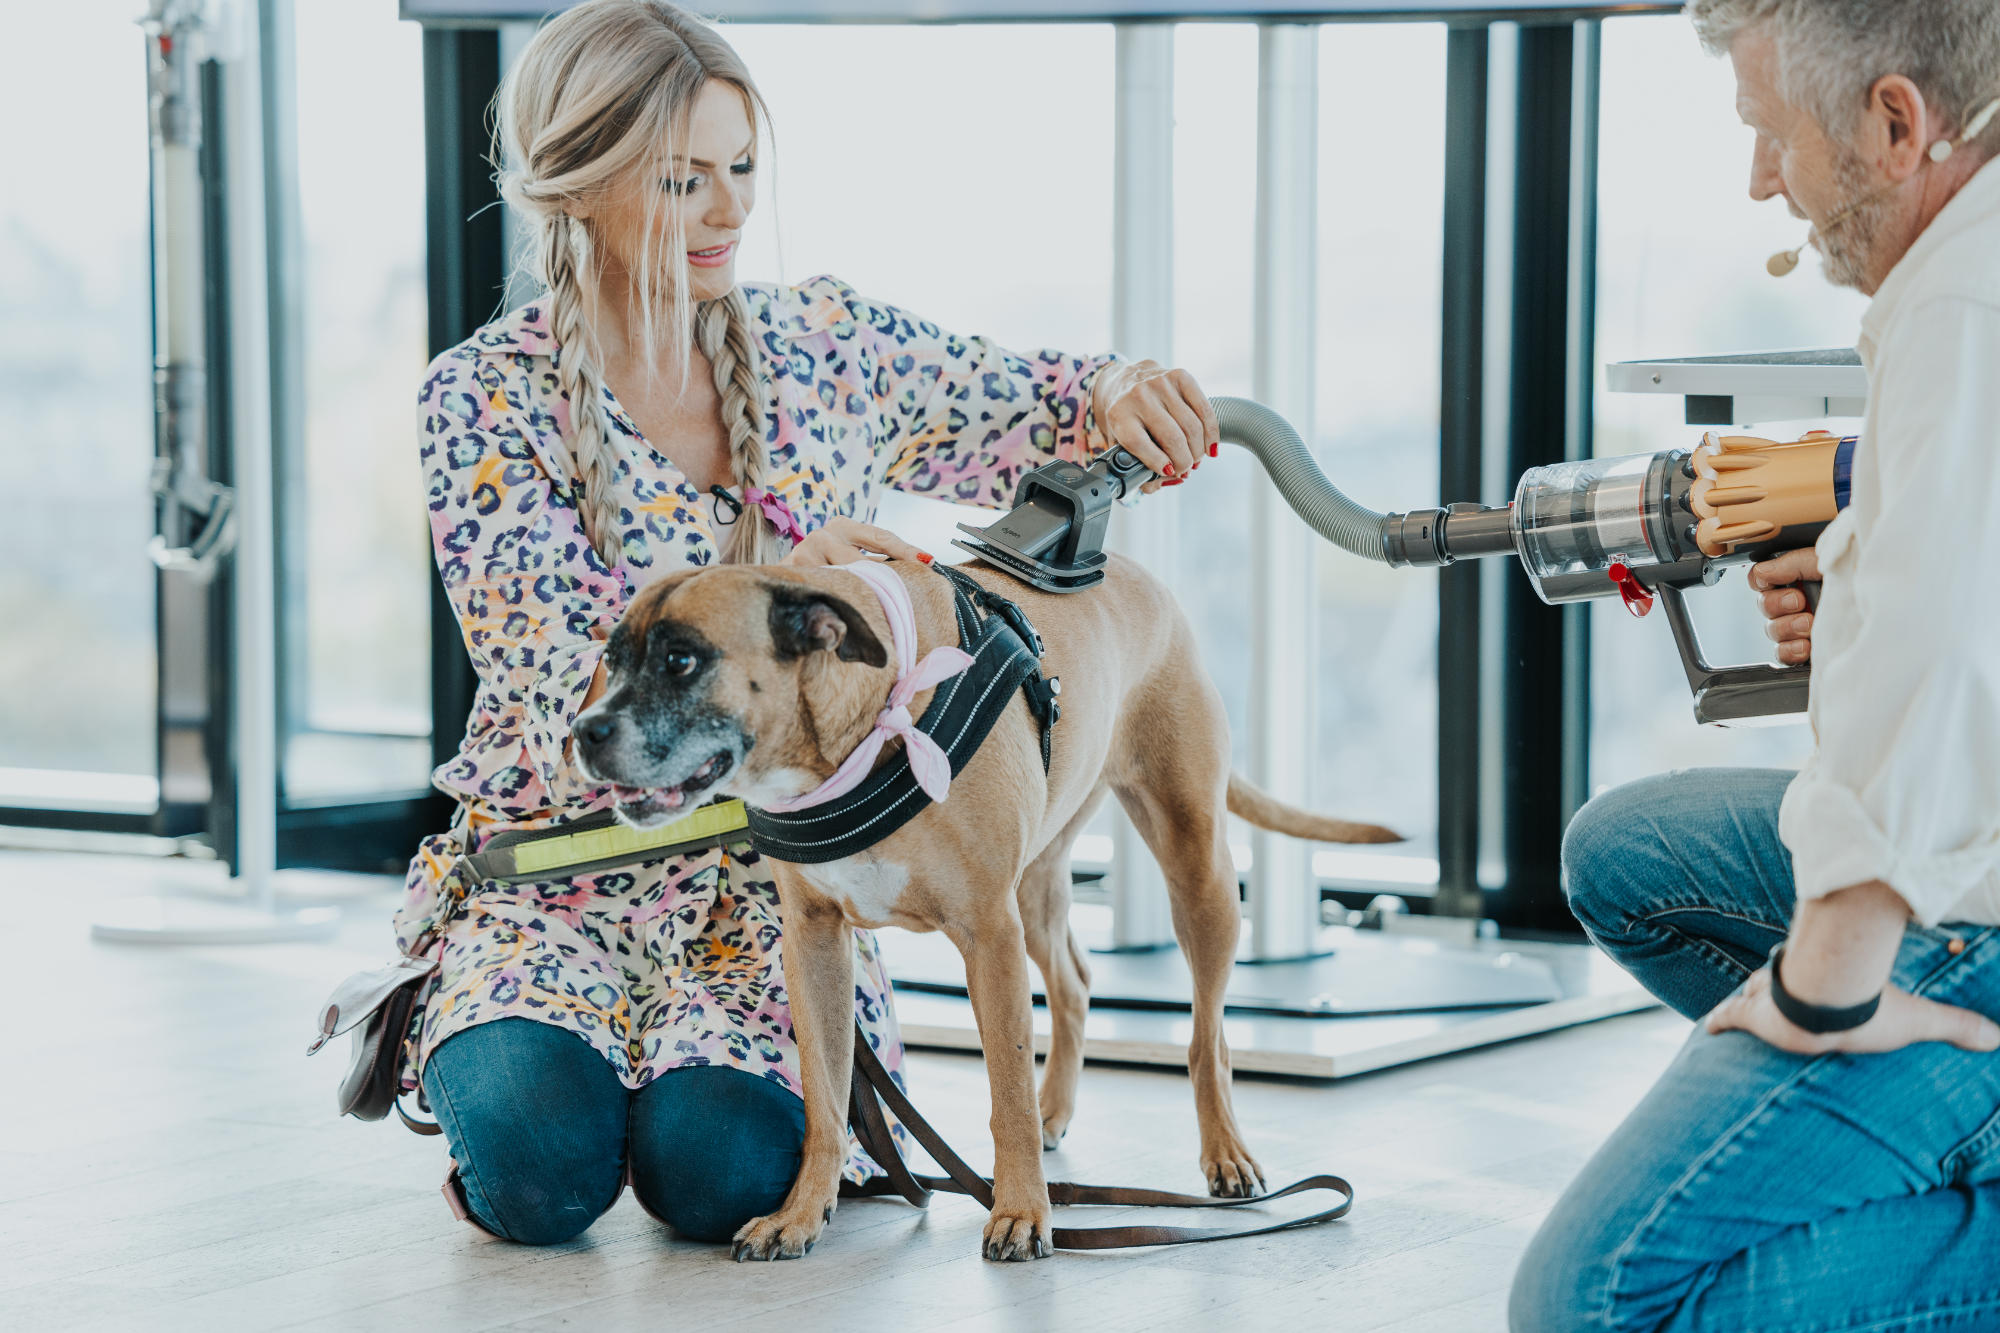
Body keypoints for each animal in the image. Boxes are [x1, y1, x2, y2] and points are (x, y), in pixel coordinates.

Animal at [572, 554, 1398, 1261]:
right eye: (613, 657)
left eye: (683, 660)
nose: (584, 731)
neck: (870, 722)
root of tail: (1135, 574)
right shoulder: (815, 944)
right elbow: (828, 1100)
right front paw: (802, 1213)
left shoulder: (988, 938)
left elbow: (1006, 1093)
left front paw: (1023, 1211)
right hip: (1038, 885)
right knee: (1075, 982)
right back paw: (1060, 1105)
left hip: (1197, 870)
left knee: (1207, 1037)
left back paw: (1224, 1151)